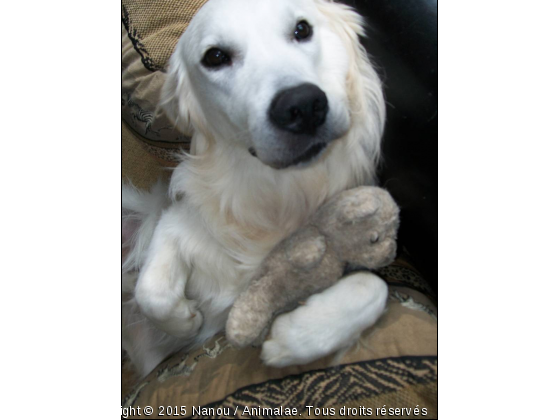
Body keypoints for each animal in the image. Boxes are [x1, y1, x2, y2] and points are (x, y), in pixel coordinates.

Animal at [121, 0, 390, 378]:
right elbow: (151, 292)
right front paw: (186, 319)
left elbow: (375, 286)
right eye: (215, 56)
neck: (280, 194)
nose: (302, 106)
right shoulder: (176, 220)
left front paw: (298, 334)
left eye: (302, 29)